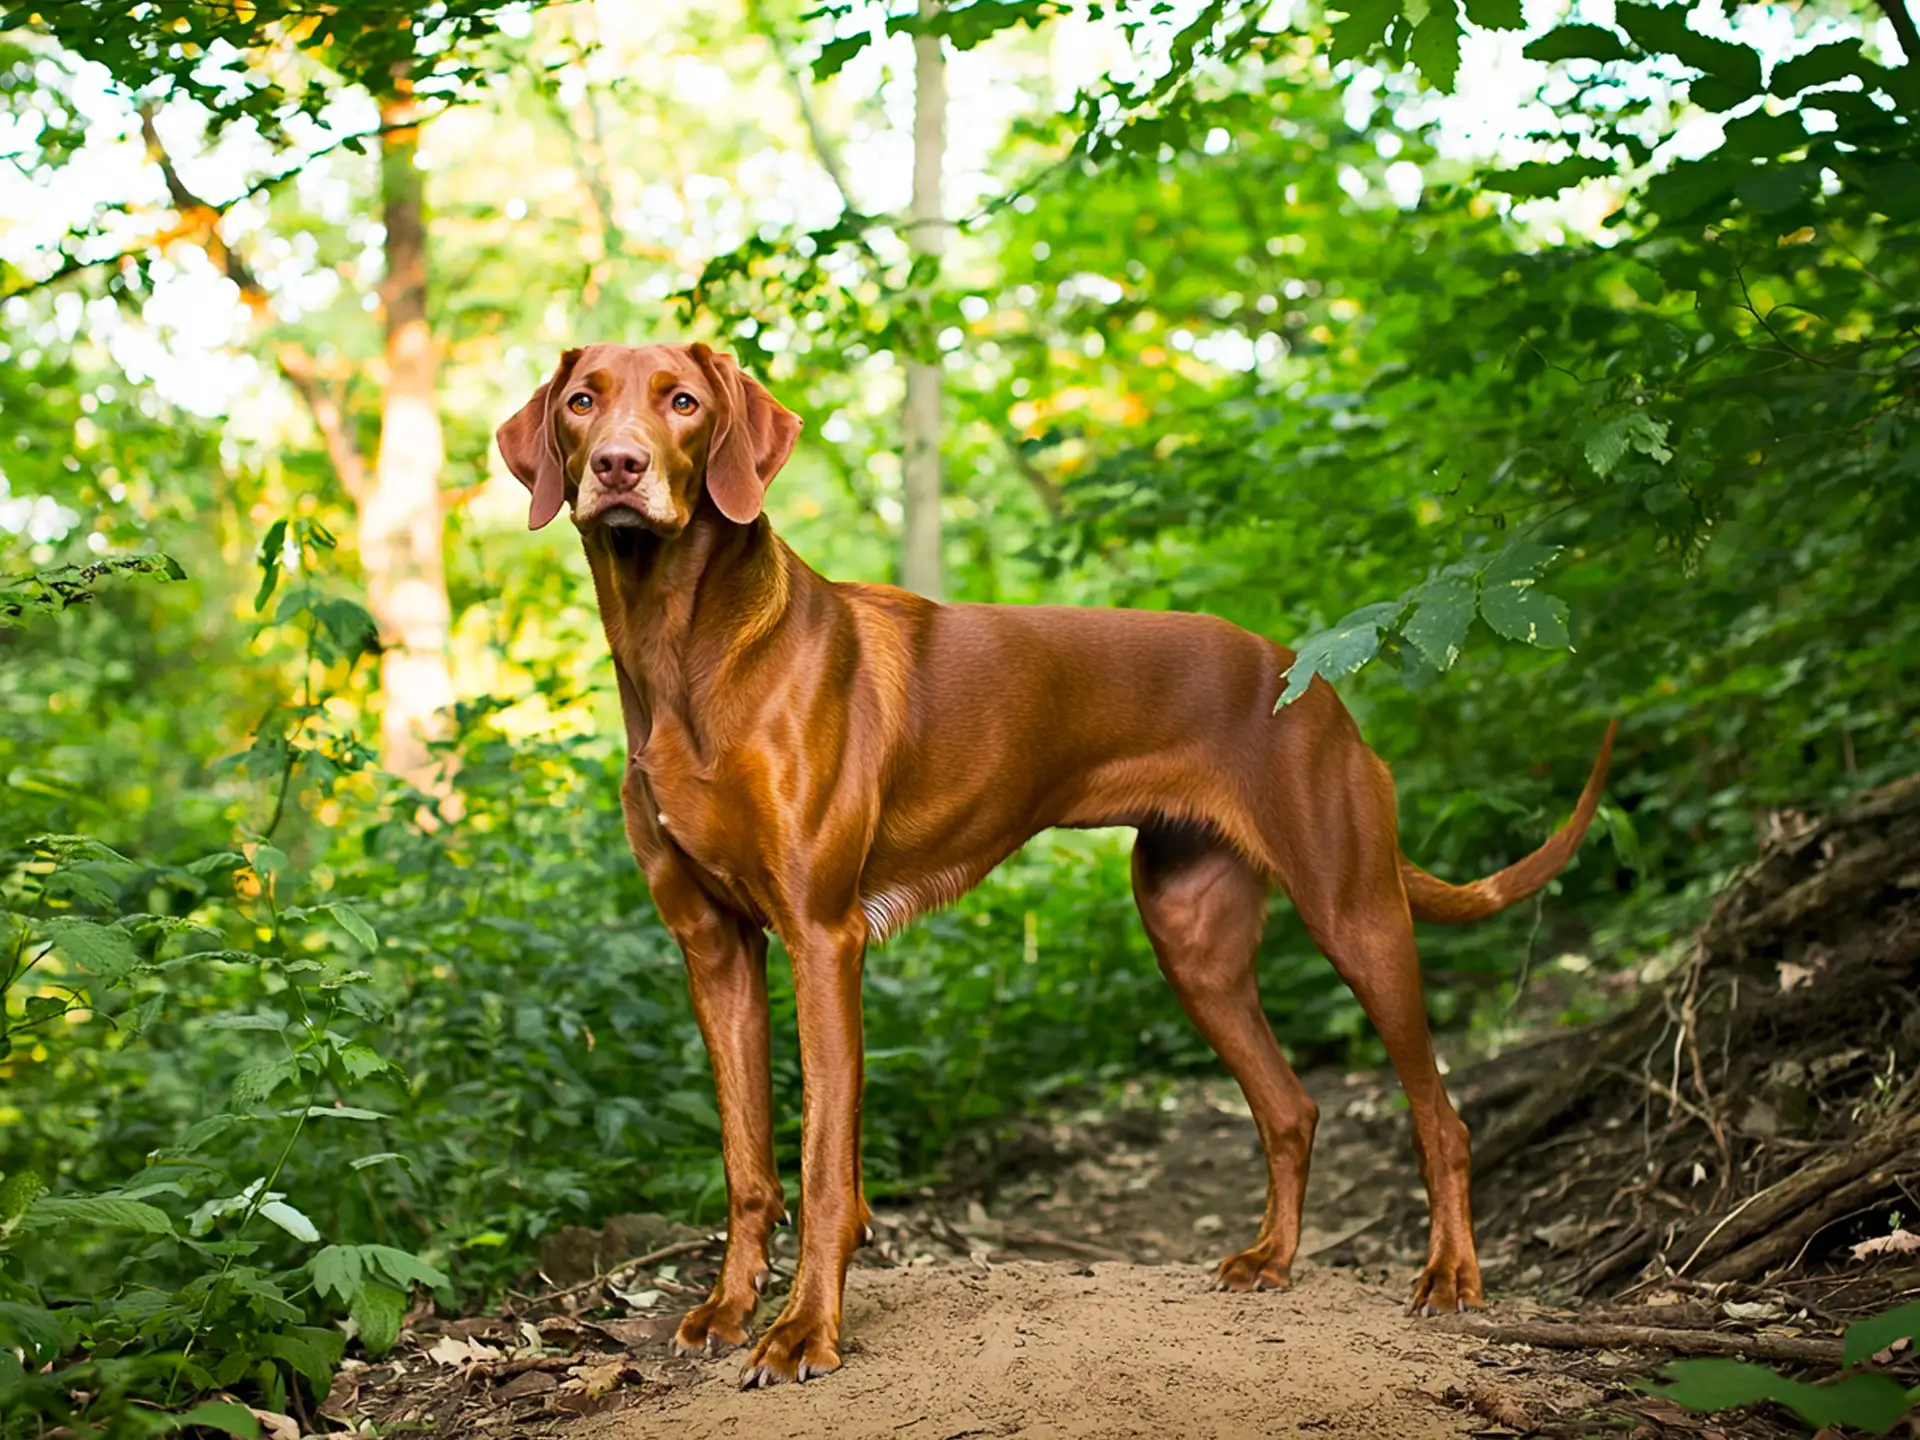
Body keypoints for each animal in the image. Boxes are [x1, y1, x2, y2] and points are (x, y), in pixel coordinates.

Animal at [499, 343, 1620, 1390]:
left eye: (684, 402)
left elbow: (822, 1168)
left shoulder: (824, 937)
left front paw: (804, 1331)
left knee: (1441, 1118)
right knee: (1291, 1109)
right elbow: (746, 1164)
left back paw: (1451, 1276)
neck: (688, 651)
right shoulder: (714, 948)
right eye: (583, 401)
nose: (619, 466)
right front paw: (731, 1309)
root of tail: (1313, 680)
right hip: (1192, 943)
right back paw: (1272, 1260)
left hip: (1356, 912)